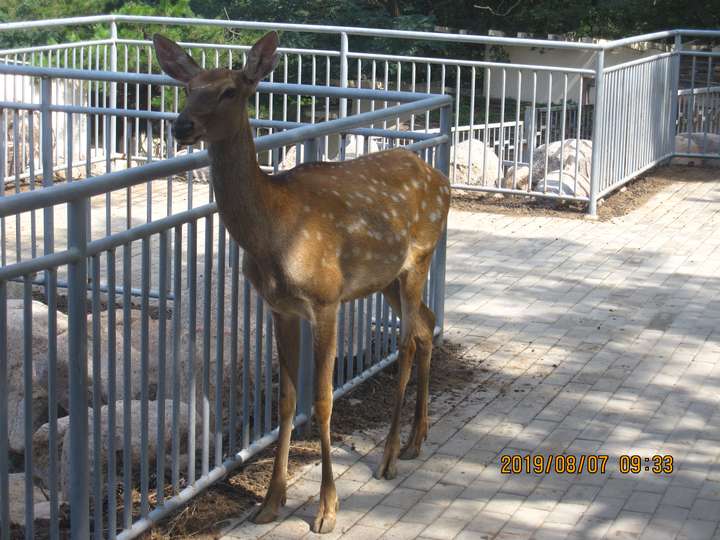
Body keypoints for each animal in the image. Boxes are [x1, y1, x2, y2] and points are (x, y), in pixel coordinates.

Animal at [154, 31, 450, 532]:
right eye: (189, 86)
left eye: (230, 90)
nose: (181, 125)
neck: (273, 232)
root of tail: (442, 180)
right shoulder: (279, 306)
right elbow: (287, 401)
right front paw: (271, 501)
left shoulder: (325, 298)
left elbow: (325, 399)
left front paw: (327, 508)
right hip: (386, 278)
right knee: (427, 326)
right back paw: (416, 440)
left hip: (419, 257)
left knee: (409, 340)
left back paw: (390, 455)